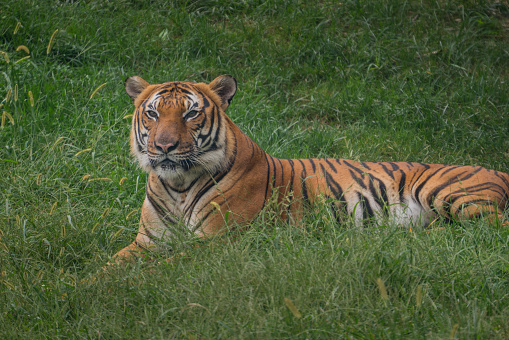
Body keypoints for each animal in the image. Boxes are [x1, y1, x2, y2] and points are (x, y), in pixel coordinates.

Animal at [114, 74, 508, 260]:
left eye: (191, 113)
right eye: (153, 113)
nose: (164, 146)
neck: (177, 183)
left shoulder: (216, 242)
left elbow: (158, 270)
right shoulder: (146, 241)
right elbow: (111, 265)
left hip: (445, 191)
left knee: (491, 228)